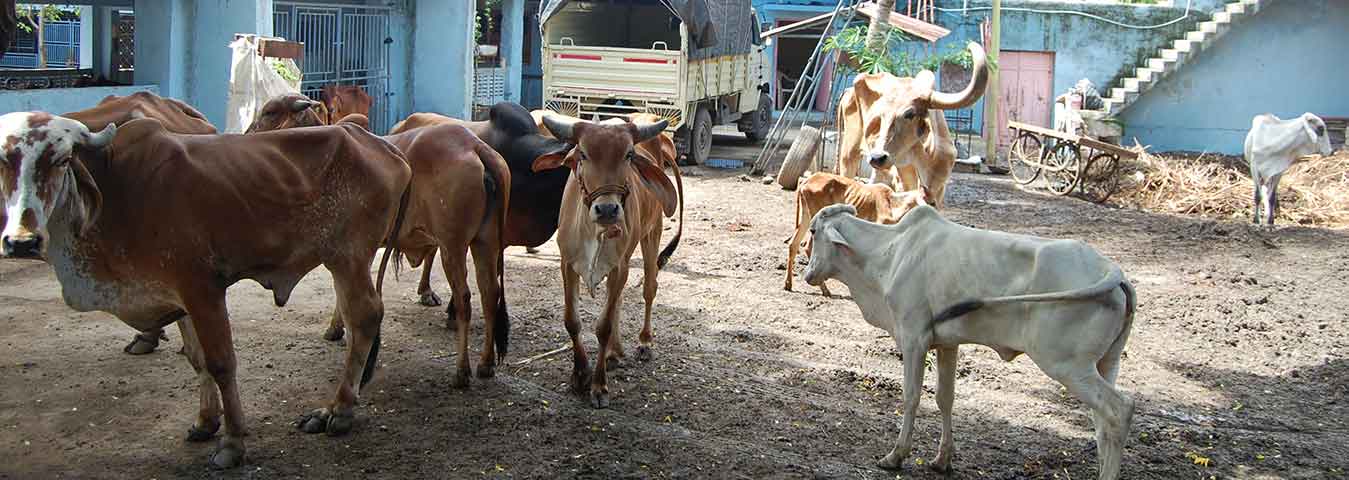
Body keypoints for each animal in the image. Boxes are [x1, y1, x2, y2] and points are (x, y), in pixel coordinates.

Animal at [0, 110, 410, 466]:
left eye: (62, 159)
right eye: (4, 161)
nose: (21, 242)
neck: (116, 189)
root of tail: (381, 144)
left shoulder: (202, 288)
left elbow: (221, 362)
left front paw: (232, 442)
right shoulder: (177, 295)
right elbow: (196, 359)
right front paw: (206, 421)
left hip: (348, 257)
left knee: (365, 318)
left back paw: (338, 410)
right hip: (340, 262)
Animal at [531, 114, 685, 407]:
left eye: (628, 154)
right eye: (582, 153)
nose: (607, 210)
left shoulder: (619, 267)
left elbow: (603, 326)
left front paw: (598, 385)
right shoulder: (567, 265)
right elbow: (572, 321)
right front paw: (580, 374)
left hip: (652, 234)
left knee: (649, 289)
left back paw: (644, 343)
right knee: (620, 301)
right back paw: (615, 353)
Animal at [787, 172, 933, 296]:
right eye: (928, 201)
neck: (892, 204)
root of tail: (806, 181)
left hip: (806, 217)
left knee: (793, 244)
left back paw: (788, 284)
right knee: (807, 246)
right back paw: (825, 290)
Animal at [798, 204, 1138, 477]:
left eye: (813, 231)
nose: (807, 274)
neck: (891, 253)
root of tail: (1113, 271)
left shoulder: (913, 337)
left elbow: (912, 396)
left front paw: (895, 456)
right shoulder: (948, 344)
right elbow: (944, 398)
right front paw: (942, 460)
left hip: (1066, 365)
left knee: (1120, 409)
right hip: (1105, 363)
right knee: (1103, 424)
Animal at [830, 41, 992, 206]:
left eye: (910, 114)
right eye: (880, 116)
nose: (877, 157)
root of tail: (848, 91)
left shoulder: (939, 187)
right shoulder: (903, 178)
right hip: (850, 152)